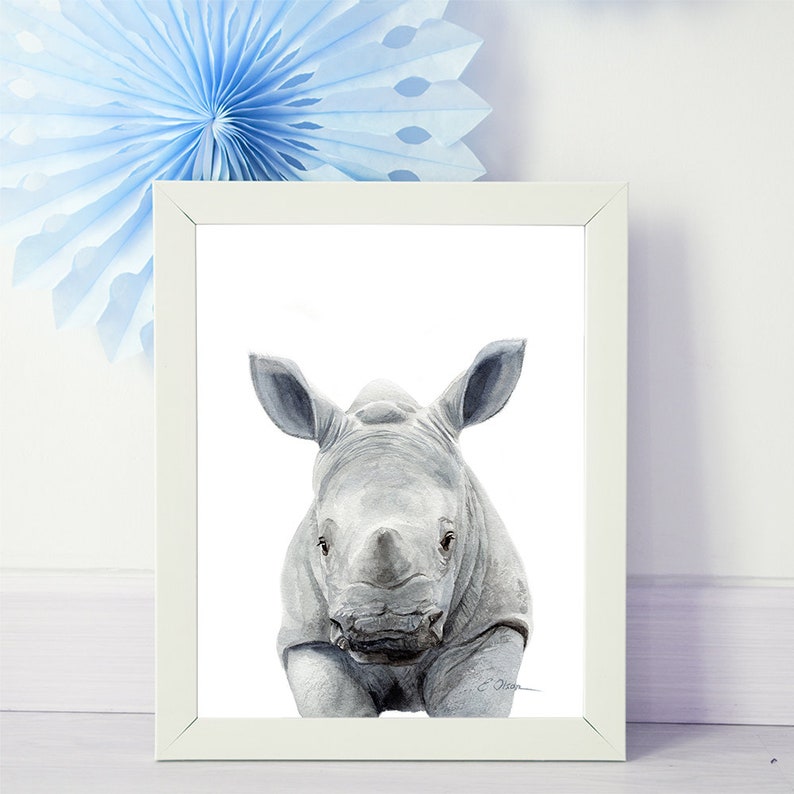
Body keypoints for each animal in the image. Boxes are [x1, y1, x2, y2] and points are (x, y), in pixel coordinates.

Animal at [249, 340, 531, 717]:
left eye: (449, 540)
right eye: (322, 544)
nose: (386, 628)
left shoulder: (495, 623)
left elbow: (473, 701)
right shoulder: (306, 638)